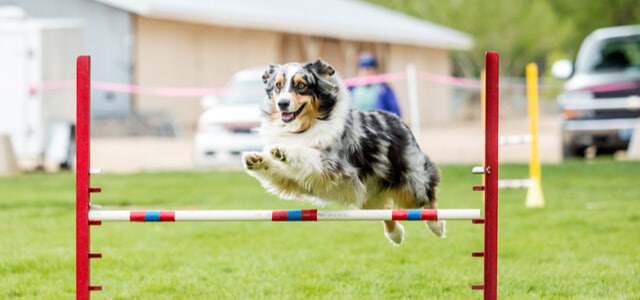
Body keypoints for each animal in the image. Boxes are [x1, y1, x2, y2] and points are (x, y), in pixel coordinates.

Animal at [241, 59, 444, 246]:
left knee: (427, 197)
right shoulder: (293, 180)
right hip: (368, 195)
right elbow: (276, 169)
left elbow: (306, 153)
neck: (304, 126)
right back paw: (396, 235)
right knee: (387, 210)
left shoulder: (333, 165)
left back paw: (437, 226)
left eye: (301, 85)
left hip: (411, 180)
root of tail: (397, 119)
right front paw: (256, 159)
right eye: (278, 85)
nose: (282, 103)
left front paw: (284, 150)